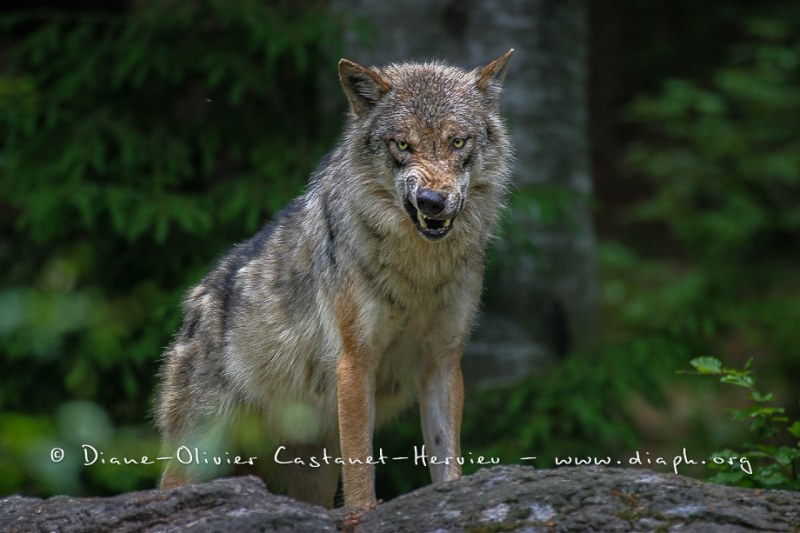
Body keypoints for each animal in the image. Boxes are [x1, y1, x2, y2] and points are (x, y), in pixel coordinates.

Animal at [156, 48, 516, 508]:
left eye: (457, 142)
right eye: (402, 144)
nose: (432, 202)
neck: (419, 274)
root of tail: (195, 306)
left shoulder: (443, 362)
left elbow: (445, 460)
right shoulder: (356, 362)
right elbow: (362, 470)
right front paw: (364, 513)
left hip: (314, 476)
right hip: (201, 457)